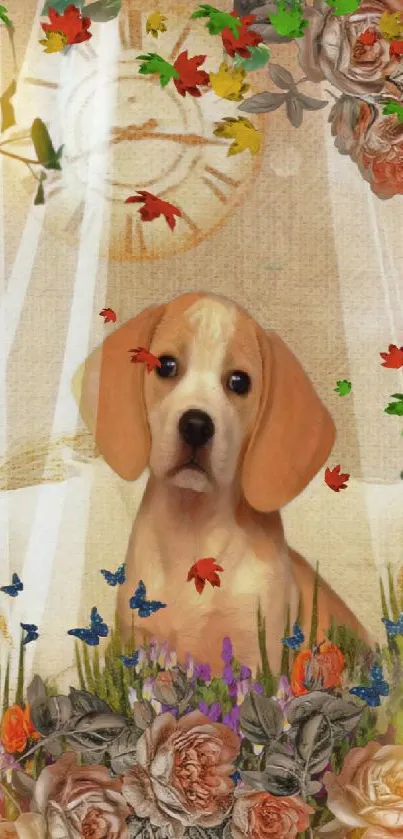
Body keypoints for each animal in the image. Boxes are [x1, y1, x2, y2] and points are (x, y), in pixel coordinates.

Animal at [76, 296, 370, 676]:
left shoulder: (257, 656)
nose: (196, 425)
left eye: (239, 382)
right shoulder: (137, 643)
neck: (192, 532)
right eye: (166, 365)